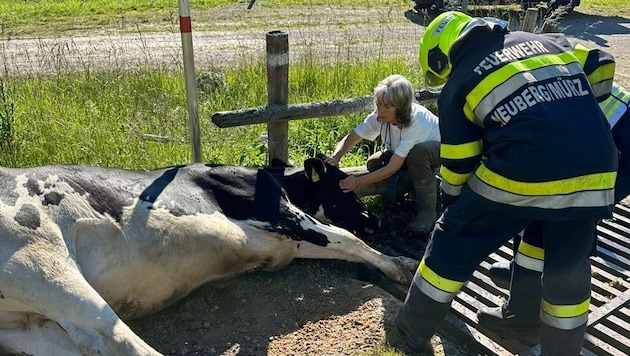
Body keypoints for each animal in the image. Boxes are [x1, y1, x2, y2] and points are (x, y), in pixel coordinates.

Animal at [0, 157, 420, 356]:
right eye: (345, 187)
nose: (375, 219)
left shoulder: (284, 241)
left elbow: (340, 246)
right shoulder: (281, 215)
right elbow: (348, 239)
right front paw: (405, 267)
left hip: (26, 324)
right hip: (45, 267)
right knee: (116, 339)